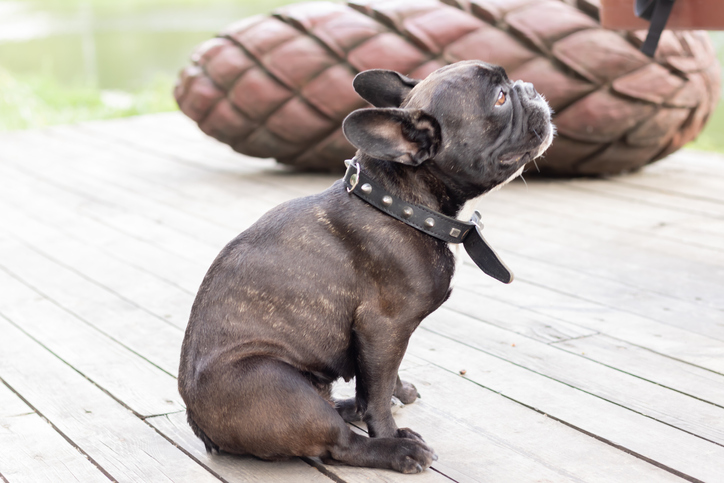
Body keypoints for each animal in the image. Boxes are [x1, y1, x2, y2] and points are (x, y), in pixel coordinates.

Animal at [178, 59, 552, 472]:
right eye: (500, 98)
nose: (529, 87)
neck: (400, 204)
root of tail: (198, 422)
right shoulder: (383, 327)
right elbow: (377, 394)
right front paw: (391, 433)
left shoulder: (380, 340)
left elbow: (379, 380)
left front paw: (397, 392)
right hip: (277, 382)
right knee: (338, 444)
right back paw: (395, 449)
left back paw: (347, 406)